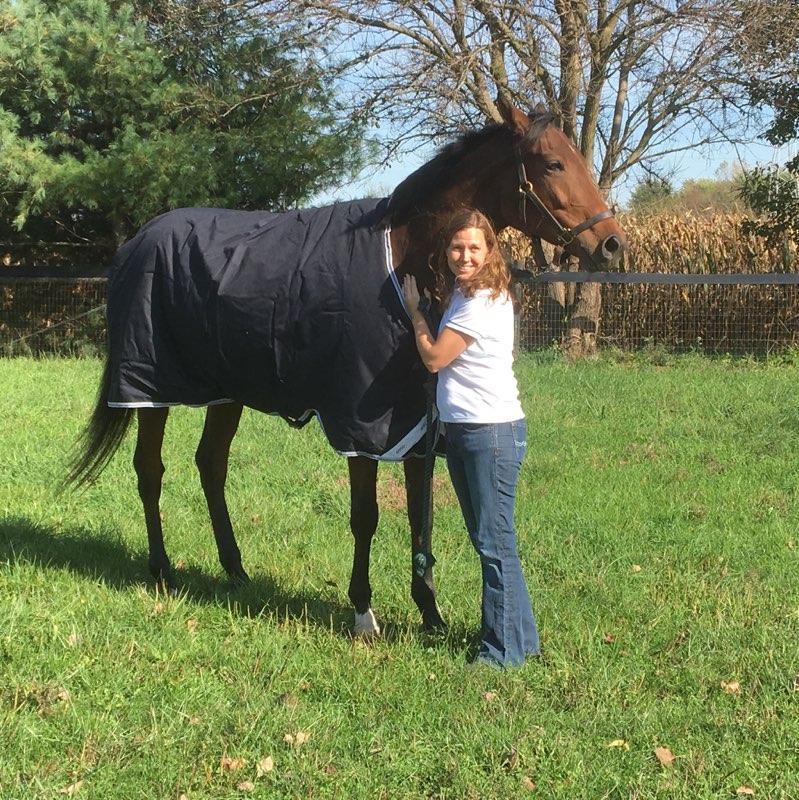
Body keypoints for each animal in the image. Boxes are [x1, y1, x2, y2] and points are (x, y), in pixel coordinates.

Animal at [68, 100, 627, 638]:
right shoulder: (361, 426)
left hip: (227, 392)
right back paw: (162, 570)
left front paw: (430, 614)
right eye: (553, 163)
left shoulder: (416, 423)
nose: (612, 244)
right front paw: (363, 611)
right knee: (150, 470)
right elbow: (366, 518)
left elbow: (419, 515)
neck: (401, 256)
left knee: (211, 467)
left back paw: (235, 571)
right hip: (149, 387)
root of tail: (136, 242)